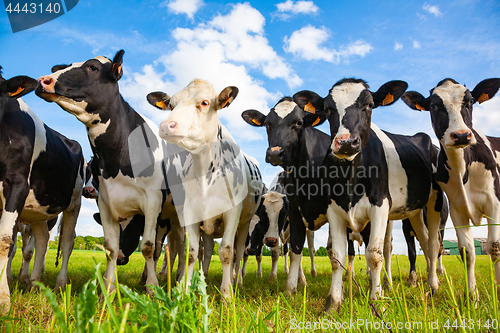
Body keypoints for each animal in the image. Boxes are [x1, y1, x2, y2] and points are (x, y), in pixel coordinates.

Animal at [146, 78, 264, 298]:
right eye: (171, 105)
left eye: (204, 102)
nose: (166, 126)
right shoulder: (191, 213)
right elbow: (192, 253)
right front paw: (184, 289)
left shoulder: (232, 213)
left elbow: (226, 251)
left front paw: (227, 294)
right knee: (207, 250)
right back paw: (205, 277)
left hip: (245, 223)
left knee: (238, 251)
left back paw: (237, 282)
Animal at [402, 78, 500, 298]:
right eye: (433, 106)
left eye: (470, 101)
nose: (461, 135)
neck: (462, 169)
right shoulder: (457, 209)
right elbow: (467, 251)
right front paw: (472, 296)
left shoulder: (494, 204)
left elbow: (495, 246)